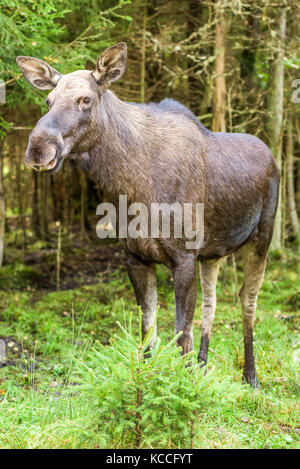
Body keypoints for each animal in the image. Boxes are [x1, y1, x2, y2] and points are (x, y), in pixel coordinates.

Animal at [16, 43, 278, 388]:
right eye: (48, 100)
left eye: (86, 99)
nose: (38, 148)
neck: (132, 188)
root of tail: (272, 156)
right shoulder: (136, 257)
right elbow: (148, 331)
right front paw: (152, 382)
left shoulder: (183, 257)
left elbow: (181, 334)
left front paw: (185, 391)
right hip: (213, 253)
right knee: (212, 302)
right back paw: (205, 368)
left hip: (262, 236)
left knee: (248, 300)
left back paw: (250, 376)